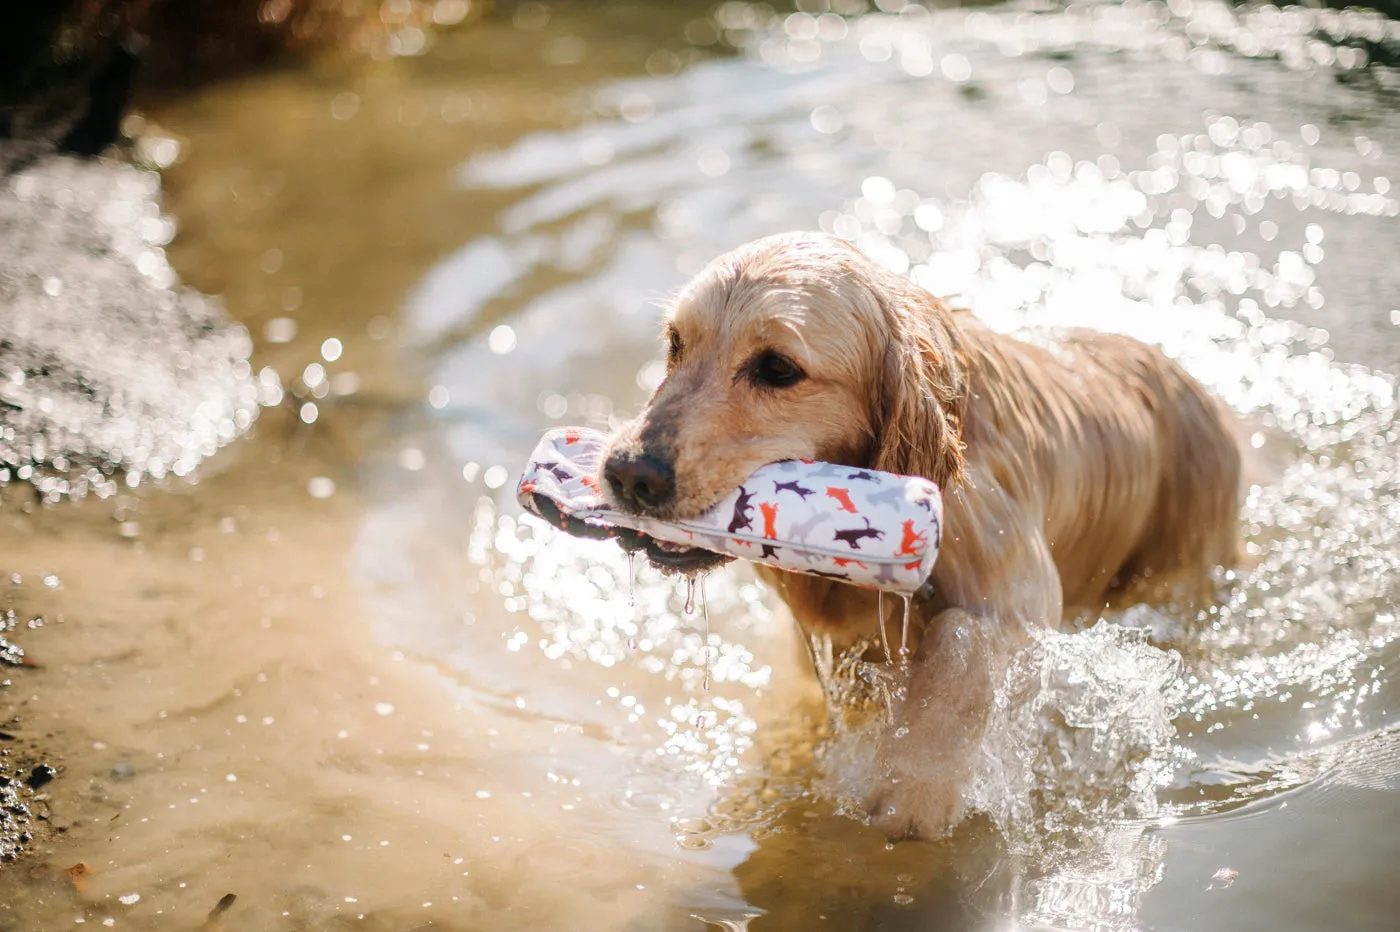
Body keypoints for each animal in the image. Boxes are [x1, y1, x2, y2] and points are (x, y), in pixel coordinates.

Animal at [599, 230, 1237, 834]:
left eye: (778, 367)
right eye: (675, 344)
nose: (628, 472)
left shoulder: (1021, 596)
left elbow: (961, 641)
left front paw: (915, 784)